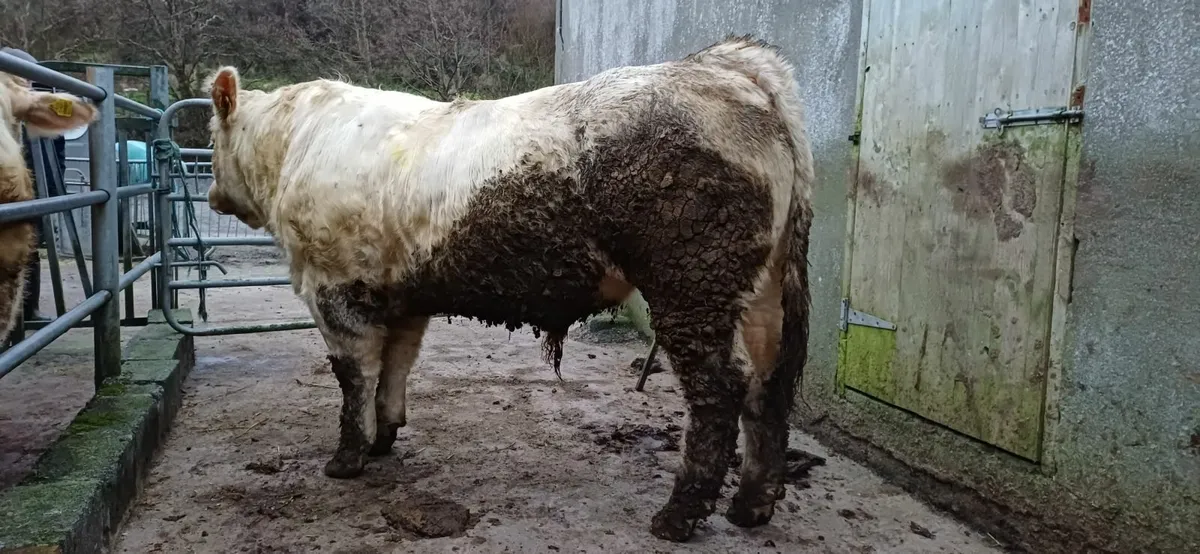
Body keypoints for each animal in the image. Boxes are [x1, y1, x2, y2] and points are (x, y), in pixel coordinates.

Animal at [203, 35, 815, 542]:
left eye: (211, 138)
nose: (211, 195)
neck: (296, 145)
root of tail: (724, 66)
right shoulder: (402, 298)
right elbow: (394, 369)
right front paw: (383, 439)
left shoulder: (333, 285)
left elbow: (354, 377)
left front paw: (346, 459)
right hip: (761, 289)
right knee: (770, 384)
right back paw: (751, 507)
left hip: (692, 281)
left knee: (720, 391)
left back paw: (679, 516)